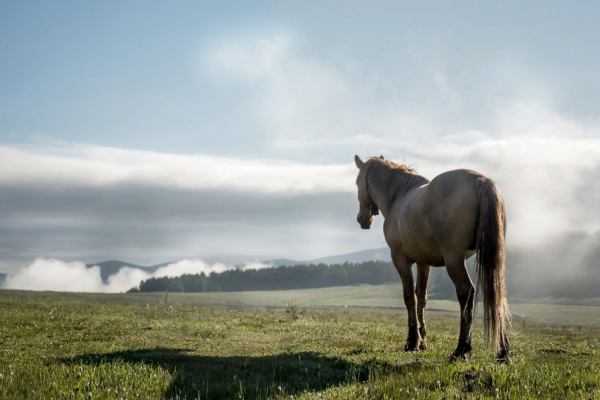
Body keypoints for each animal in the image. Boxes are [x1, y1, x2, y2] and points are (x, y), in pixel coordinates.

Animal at [356, 155, 510, 360]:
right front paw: (422, 341)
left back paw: (461, 349)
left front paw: (412, 342)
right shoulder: (423, 262)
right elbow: (421, 297)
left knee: (466, 291)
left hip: (454, 260)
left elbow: (409, 297)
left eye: (357, 182)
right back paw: (503, 352)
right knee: (496, 292)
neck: (399, 196)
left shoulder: (400, 259)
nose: (361, 219)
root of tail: (481, 181)